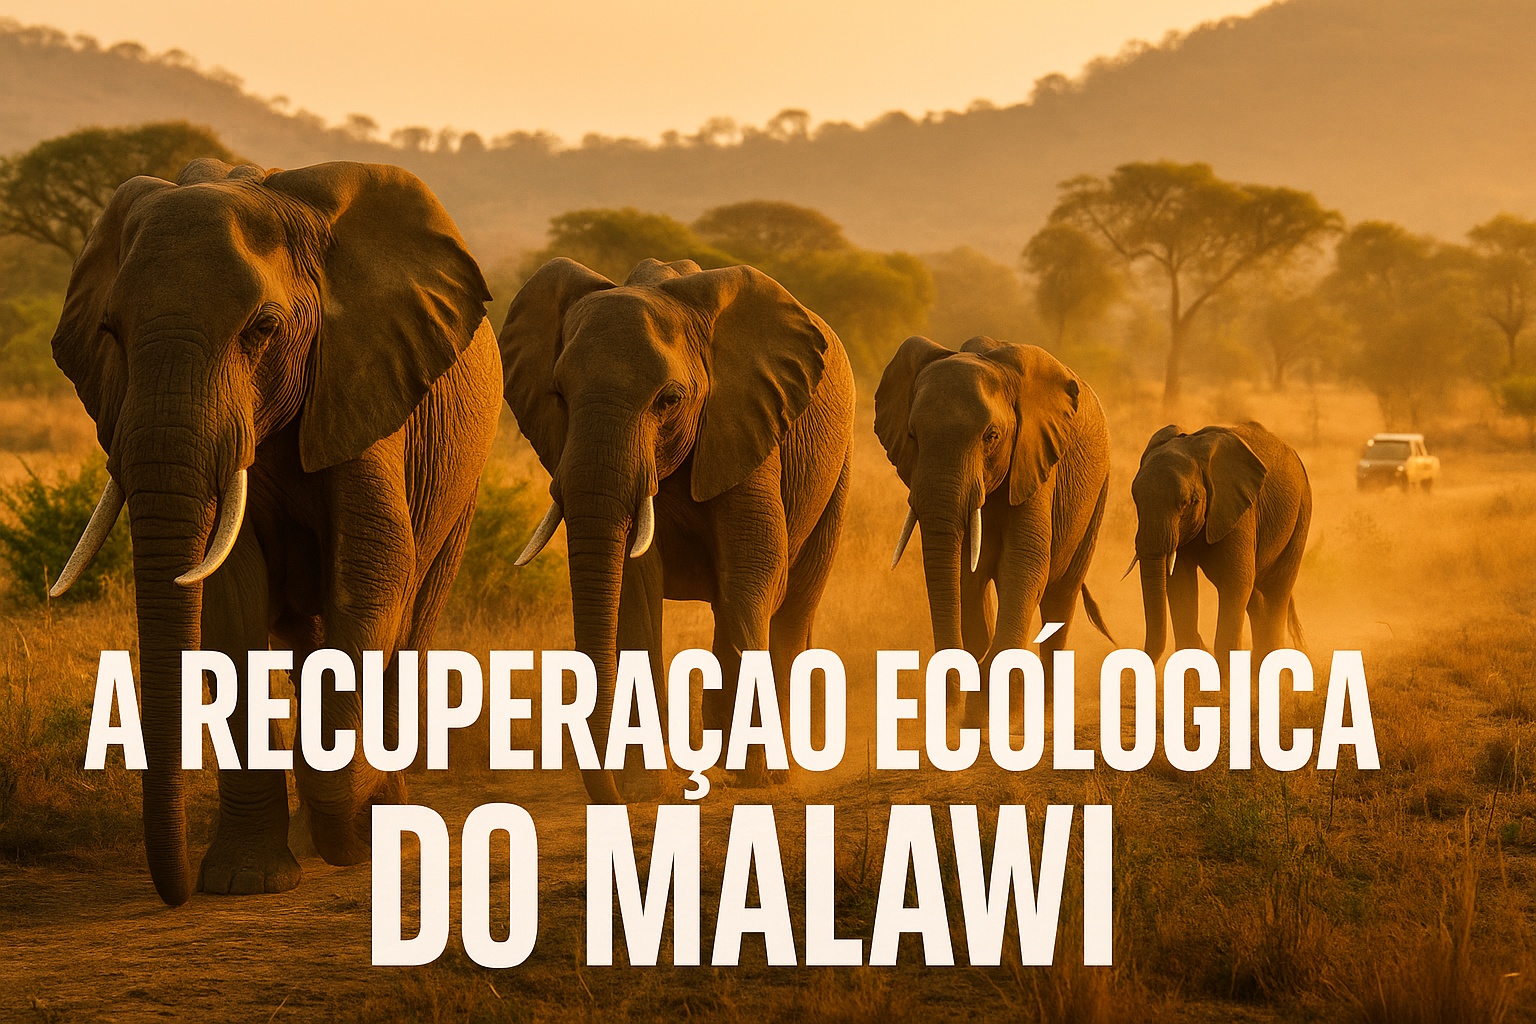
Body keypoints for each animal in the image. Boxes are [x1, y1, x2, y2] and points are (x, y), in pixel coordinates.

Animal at [48, 158, 501, 905]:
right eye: (110, 331)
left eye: (261, 329)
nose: (175, 894)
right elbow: (229, 601)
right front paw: (245, 881)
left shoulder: (362, 376)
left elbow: (372, 569)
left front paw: (351, 825)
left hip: (461, 484)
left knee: (410, 622)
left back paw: (384, 816)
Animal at [500, 256, 854, 797]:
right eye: (559, 395)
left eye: (668, 401)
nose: (610, 801)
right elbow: (635, 583)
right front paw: (645, 790)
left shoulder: (747, 423)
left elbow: (754, 567)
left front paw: (753, 776)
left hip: (838, 466)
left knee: (793, 603)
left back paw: (775, 769)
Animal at [874, 335, 1113, 724]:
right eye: (912, 436)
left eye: (992, 436)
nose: (949, 710)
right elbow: (965, 574)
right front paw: (975, 710)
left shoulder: (1036, 458)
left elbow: (1024, 563)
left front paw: (994, 710)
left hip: (1098, 494)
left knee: (1061, 595)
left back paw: (1048, 709)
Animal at [1131, 421, 1311, 661]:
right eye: (1136, 499)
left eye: (1188, 502)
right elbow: (1180, 583)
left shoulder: (1239, 511)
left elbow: (1235, 581)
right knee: (1256, 596)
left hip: (1301, 511)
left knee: (1277, 589)